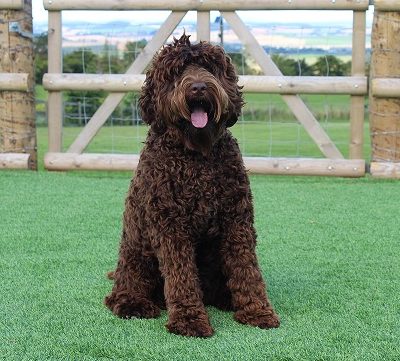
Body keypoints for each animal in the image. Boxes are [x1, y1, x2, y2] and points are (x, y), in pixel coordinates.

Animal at [104, 33, 278, 338]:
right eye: (176, 72)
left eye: (209, 68)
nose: (198, 87)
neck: (197, 156)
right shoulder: (170, 226)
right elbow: (181, 276)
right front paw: (189, 320)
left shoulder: (237, 221)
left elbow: (247, 270)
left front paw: (257, 311)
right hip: (136, 252)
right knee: (121, 292)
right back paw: (133, 303)